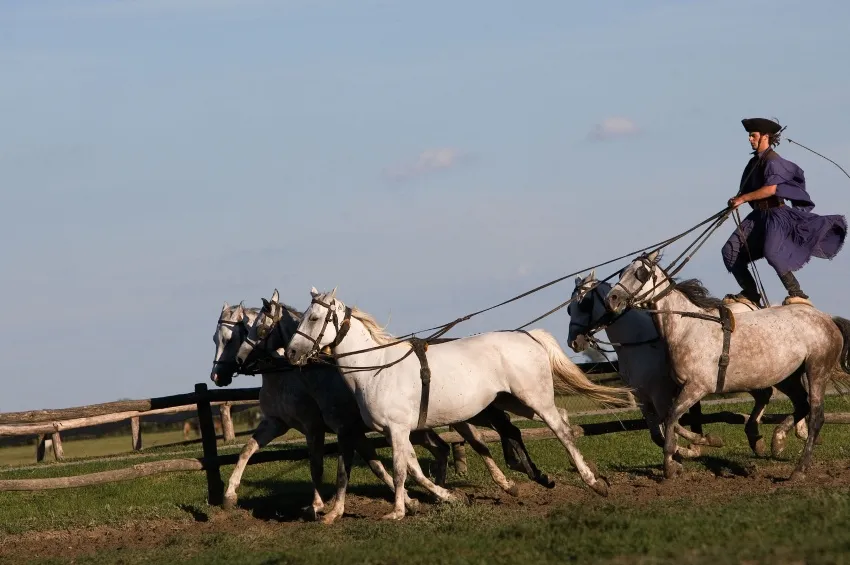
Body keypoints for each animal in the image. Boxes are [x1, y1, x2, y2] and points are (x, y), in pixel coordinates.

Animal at [284, 286, 636, 520]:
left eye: (314, 318)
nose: (291, 353)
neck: (375, 369)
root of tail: (528, 336)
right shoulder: (395, 432)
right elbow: (413, 468)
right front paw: (447, 497)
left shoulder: (397, 430)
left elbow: (399, 470)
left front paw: (397, 512)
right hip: (515, 403)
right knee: (560, 420)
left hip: (533, 399)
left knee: (561, 431)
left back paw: (593, 482)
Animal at [568, 270, 804, 458]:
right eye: (569, 309)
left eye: (585, 304)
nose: (574, 341)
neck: (638, 343)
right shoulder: (643, 398)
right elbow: (658, 434)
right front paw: (685, 450)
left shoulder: (661, 393)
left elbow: (671, 423)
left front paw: (699, 445)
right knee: (767, 395)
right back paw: (760, 439)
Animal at [604, 251, 848, 480]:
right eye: (621, 272)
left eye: (641, 273)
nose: (612, 299)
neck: (688, 327)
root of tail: (828, 318)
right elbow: (669, 421)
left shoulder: (696, 388)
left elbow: (671, 418)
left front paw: (671, 466)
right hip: (787, 377)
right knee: (801, 405)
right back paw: (777, 440)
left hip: (816, 371)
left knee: (816, 416)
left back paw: (799, 469)